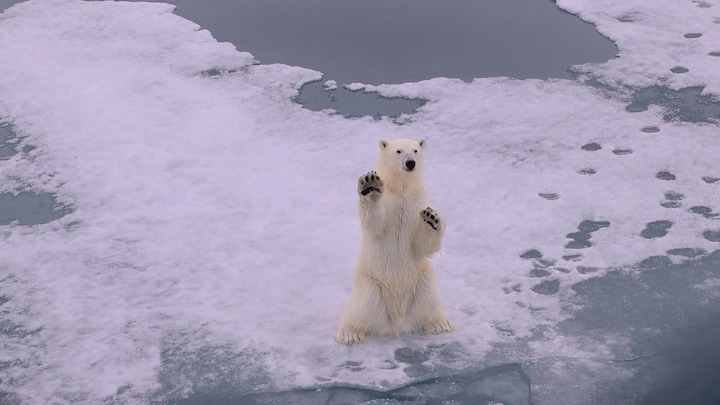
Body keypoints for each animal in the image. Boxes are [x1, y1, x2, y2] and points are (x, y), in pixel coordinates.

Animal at [336, 137, 456, 342]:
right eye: (399, 151)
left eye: (415, 150)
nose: (410, 163)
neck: (401, 190)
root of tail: (398, 323)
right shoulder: (390, 204)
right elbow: (376, 223)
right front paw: (370, 186)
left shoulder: (417, 203)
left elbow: (421, 245)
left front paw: (433, 218)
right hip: (371, 283)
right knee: (362, 307)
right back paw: (349, 333)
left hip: (420, 279)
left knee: (429, 296)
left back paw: (440, 323)